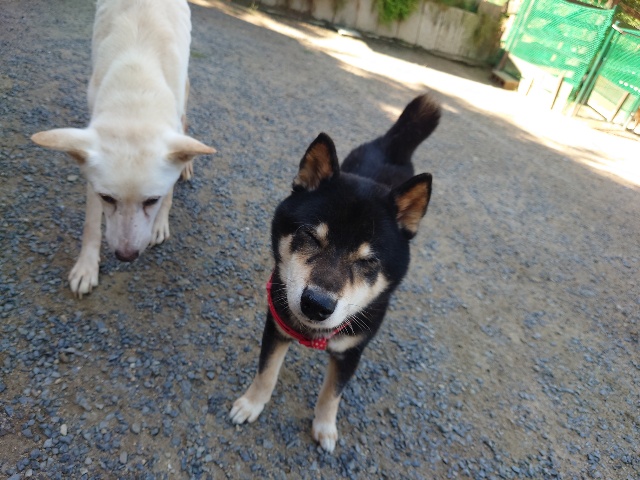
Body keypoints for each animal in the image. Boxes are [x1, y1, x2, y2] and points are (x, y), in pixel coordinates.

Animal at [31, 0, 215, 298]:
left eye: (151, 200)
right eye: (107, 198)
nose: (125, 256)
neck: (136, 94)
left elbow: (170, 190)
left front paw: (160, 224)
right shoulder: (92, 176)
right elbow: (91, 224)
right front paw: (86, 267)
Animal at [230, 94, 440, 452]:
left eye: (368, 261)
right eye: (311, 237)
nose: (316, 305)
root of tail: (393, 145)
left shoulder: (351, 351)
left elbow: (331, 395)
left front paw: (325, 428)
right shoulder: (277, 324)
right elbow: (266, 373)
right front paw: (251, 404)